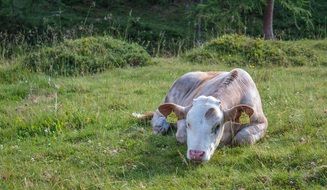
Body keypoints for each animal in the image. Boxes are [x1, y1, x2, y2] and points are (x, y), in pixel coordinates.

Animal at [135, 68, 268, 162]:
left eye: (217, 126)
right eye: (188, 124)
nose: (196, 154)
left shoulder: (261, 121)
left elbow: (242, 138)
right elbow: (181, 135)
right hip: (168, 97)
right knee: (159, 117)